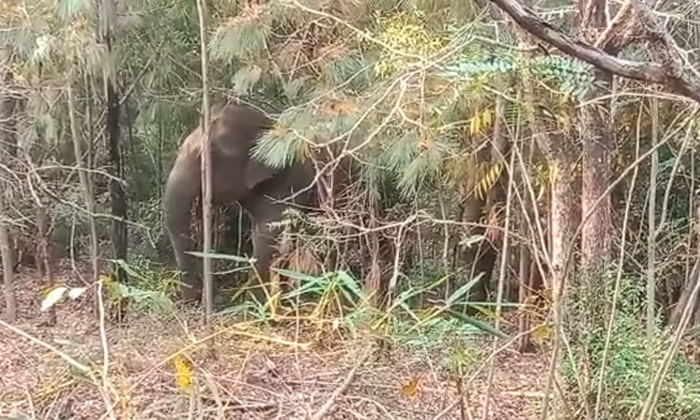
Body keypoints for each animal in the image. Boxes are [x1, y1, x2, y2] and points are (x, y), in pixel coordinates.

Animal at [161, 101, 318, 306]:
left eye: (207, 155)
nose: (190, 302)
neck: (269, 125)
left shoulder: (290, 183)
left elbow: (266, 237)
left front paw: (253, 306)